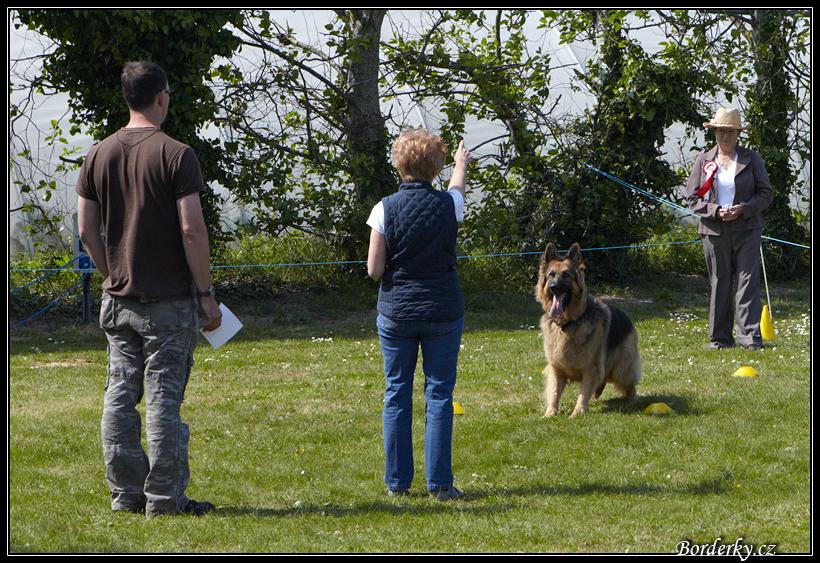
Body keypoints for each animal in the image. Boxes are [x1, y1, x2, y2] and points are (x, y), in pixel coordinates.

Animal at [536, 243, 644, 418]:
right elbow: (554, 392)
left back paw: (634, 400)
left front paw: (577, 412)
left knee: (628, 384)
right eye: (551, 275)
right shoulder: (556, 368)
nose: (554, 287)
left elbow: (583, 392)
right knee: (602, 381)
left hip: (622, 368)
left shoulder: (591, 367)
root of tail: (626, 315)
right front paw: (550, 413)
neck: (568, 324)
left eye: (566, 275)